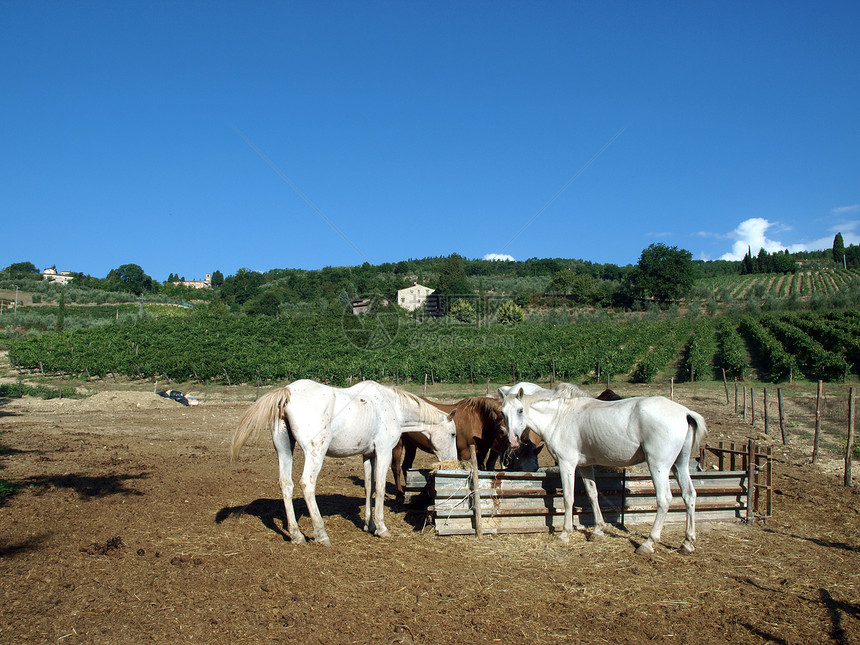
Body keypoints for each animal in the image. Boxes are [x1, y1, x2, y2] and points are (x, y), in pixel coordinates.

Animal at [228, 380, 456, 544]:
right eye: (453, 434)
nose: (453, 461)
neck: (391, 407)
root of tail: (287, 392)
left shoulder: (368, 455)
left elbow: (369, 487)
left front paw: (368, 525)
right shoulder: (383, 452)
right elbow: (380, 488)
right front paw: (381, 528)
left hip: (284, 448)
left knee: (286, 484)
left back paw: (296, 535)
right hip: (315, 453)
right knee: (306, 484)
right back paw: (320, 534)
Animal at [500, 384, 708, 556]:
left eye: (520, 410)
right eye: (503, 413)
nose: (512, 440)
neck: (559, 417)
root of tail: (685, 412)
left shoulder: (567, 464)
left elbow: (568, 498)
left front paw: (565, 534)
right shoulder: (585, 466)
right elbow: (593, 495)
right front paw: (598, 530)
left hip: (659, 465)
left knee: (664, 499)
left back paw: (648, 544)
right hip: (679, 465)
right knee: (689, 495)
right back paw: (687, 543)